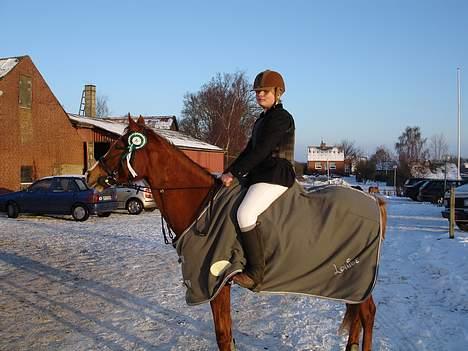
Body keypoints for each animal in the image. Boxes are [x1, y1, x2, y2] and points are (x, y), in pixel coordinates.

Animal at [86, 116, 386, 351]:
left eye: (120, 145)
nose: (89, 175)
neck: (201, 205)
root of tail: (373, 200)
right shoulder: (220, 284)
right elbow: (227, 335)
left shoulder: (215, 282)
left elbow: (222, 336)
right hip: (352, 283)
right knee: (359, 314)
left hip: (356, 277)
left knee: (368, 314)